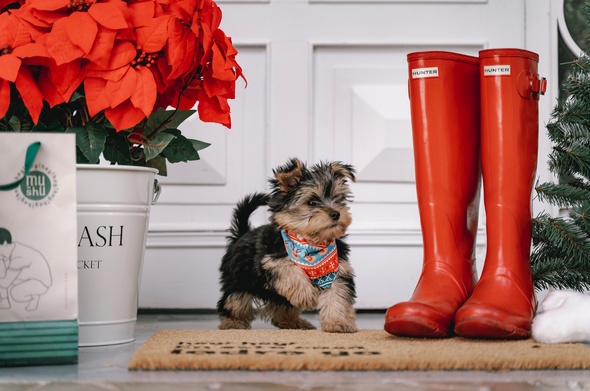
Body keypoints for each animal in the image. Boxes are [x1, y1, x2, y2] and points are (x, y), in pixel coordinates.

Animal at [216, 158, 356, 334]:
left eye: (337, 199)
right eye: (311, 202)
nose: (336, 213)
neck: (310, 242)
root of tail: (242, 234)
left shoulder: (337, 271)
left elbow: (337, 295)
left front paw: (338, 322)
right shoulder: (270, 260)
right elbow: (288, 267)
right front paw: (306, 295)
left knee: (282, 306)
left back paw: (294, 323)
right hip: (239, 277)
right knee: (234, 300)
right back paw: (233, 323)